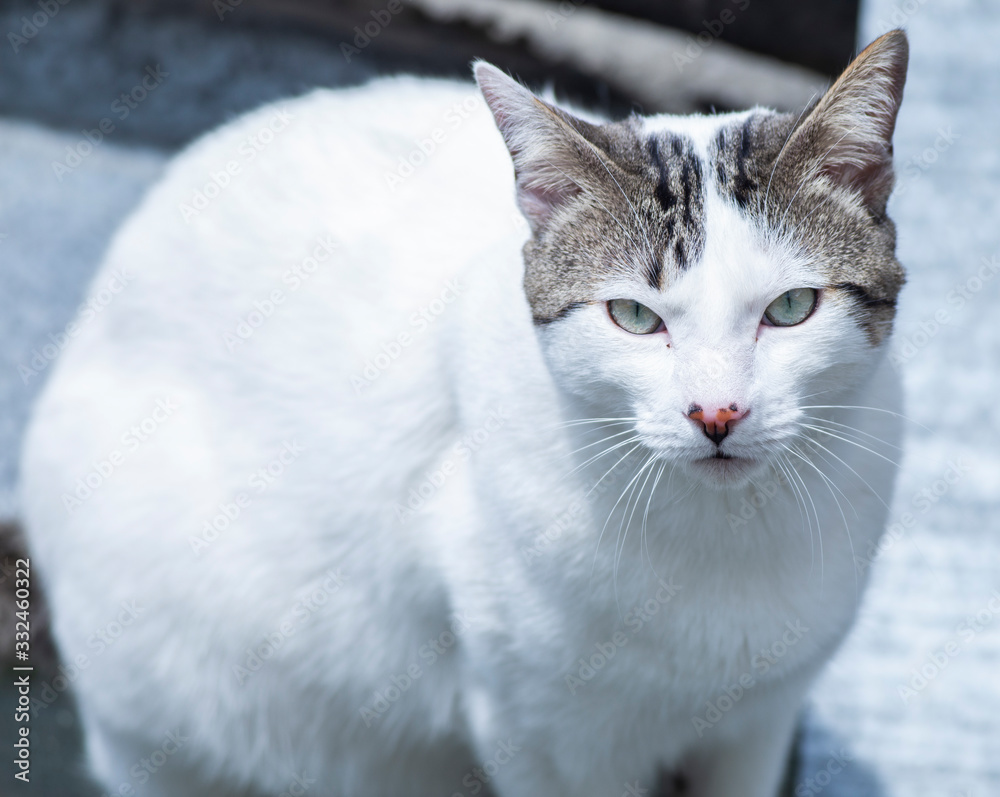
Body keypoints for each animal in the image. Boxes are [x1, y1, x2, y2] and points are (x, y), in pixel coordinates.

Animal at [17, 29, 908, 796]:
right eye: (633, 316)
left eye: (790, 308)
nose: (717, 411)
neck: (727, 541)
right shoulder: (543, 735)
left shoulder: (760, 722)